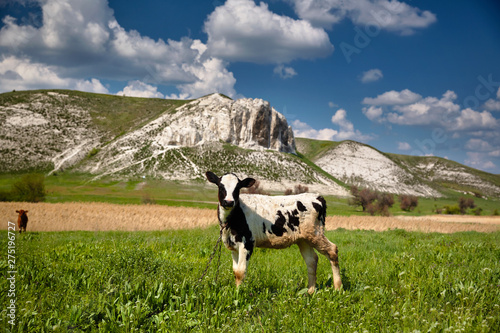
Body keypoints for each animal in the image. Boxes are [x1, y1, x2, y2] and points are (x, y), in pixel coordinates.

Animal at [205, 170, 342, 292]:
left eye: (237, 187)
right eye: (220, 186)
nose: (229, 202)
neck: (230, 221)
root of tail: (317, 196)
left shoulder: (247, 243)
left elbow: (240, 271)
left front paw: (238, 294)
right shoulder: (233, 245)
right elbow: (235, 271)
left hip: (316, 233)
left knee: (332, 250)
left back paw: (338, 288)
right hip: (304, 239)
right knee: (311, 260)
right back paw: (310, 291)